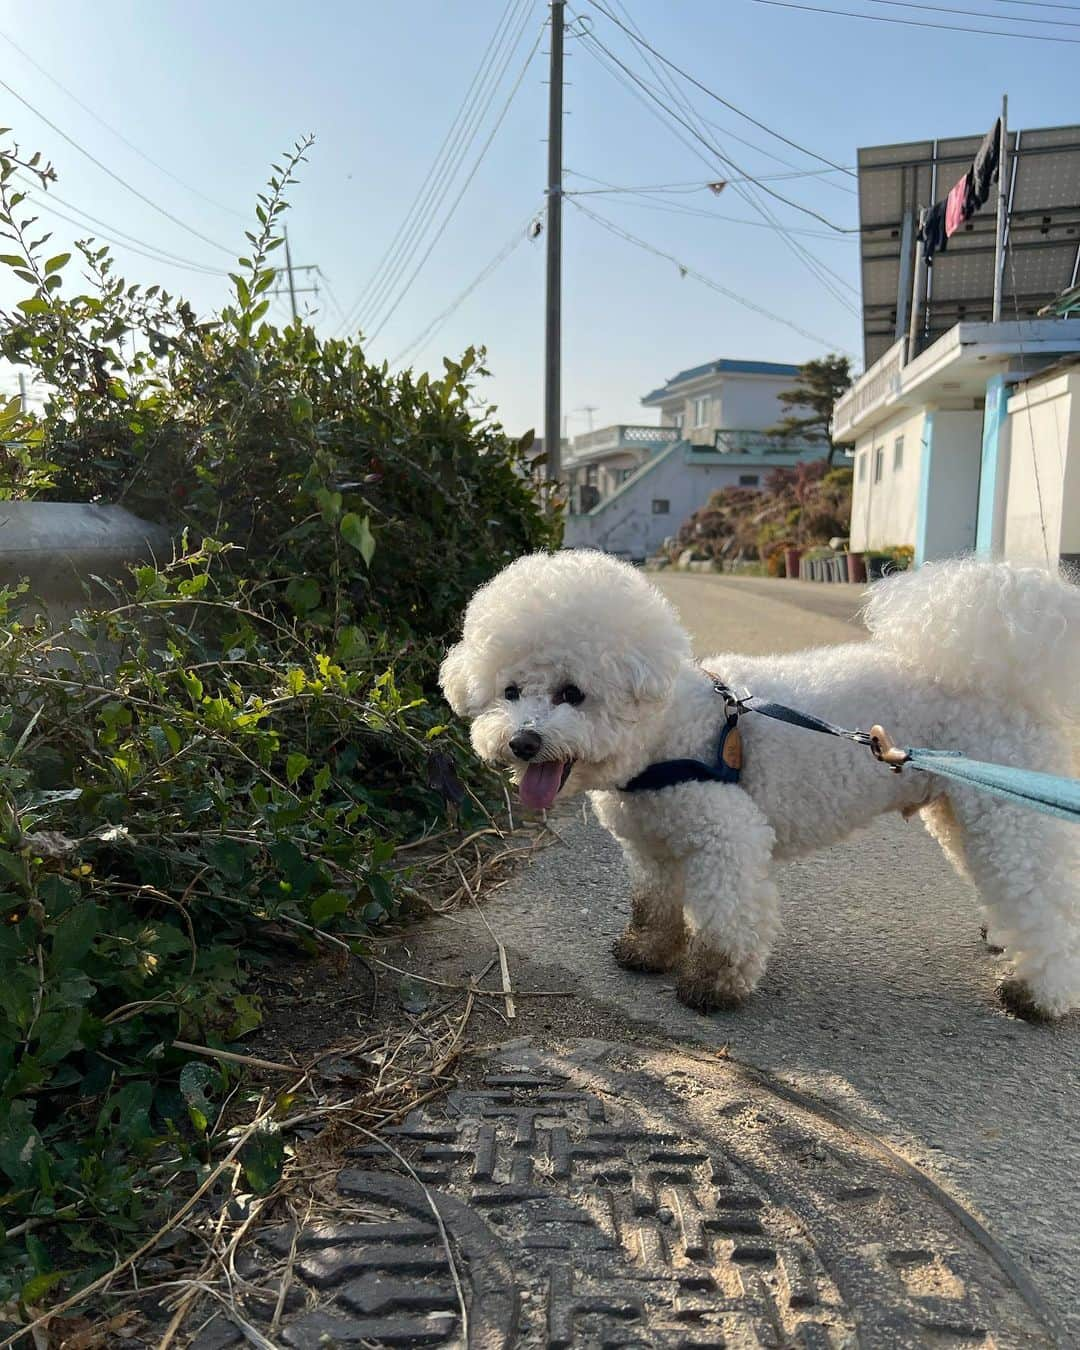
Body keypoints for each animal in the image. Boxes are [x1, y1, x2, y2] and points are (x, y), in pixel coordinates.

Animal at [437, 553, 1080, 1015]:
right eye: (510, 692)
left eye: (572, 693)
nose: (523, 742)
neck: (671, 730)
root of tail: (1004, 673)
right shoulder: (652, 845)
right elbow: (653, 904)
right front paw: (647, 951)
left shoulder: (729, 836)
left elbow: (728, 918)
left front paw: (712, 985)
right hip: (961, 808)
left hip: (1004, 816)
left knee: (1045, 901)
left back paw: (1039, 994)